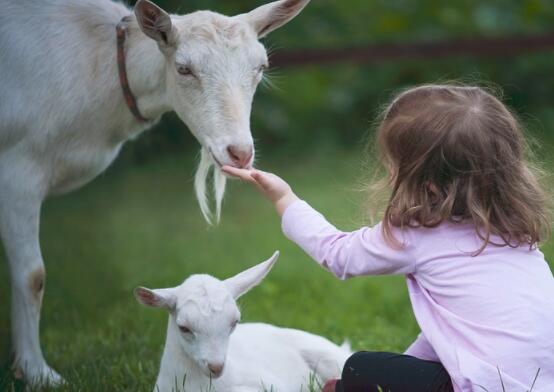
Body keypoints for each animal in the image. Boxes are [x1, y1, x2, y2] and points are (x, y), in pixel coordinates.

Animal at [0, 0, 308, 386]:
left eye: (261, 67)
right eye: (183, 68)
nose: (239, 152)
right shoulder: (18, 169)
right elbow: (32, 275)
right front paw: (37, 373)